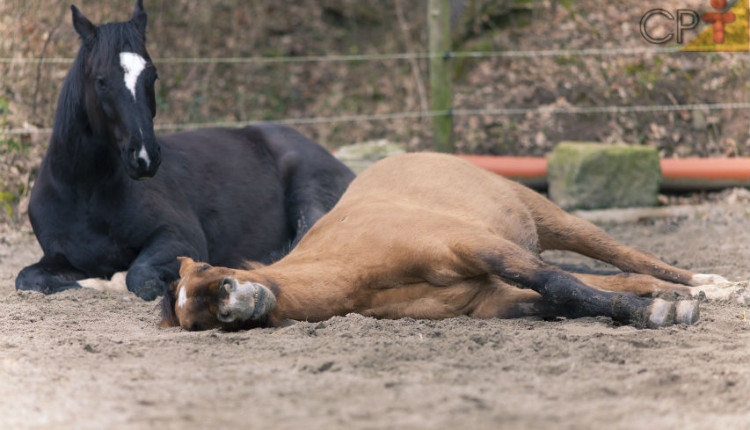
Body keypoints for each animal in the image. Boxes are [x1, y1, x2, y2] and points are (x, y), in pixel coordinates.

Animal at [14, 1, 356, 300]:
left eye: (152, 75)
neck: (85, 193)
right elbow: (27, 278)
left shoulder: (178, 237)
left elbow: (138, 277)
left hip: (309, 193)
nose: (145, 158)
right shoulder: (58, 258)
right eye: (100, 80)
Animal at [160, 153, 748, 330]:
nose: (236, 307)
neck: (355, 269)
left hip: (551, 219)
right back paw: (687, 293)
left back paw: (710, 285)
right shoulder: (491, 299)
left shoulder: (477, 247)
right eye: (200, 321)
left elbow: (560, 284)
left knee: (628, 256)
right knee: (624, 273)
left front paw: (662, 314)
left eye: (215, 279)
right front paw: (657, 309)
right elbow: (567, 297)